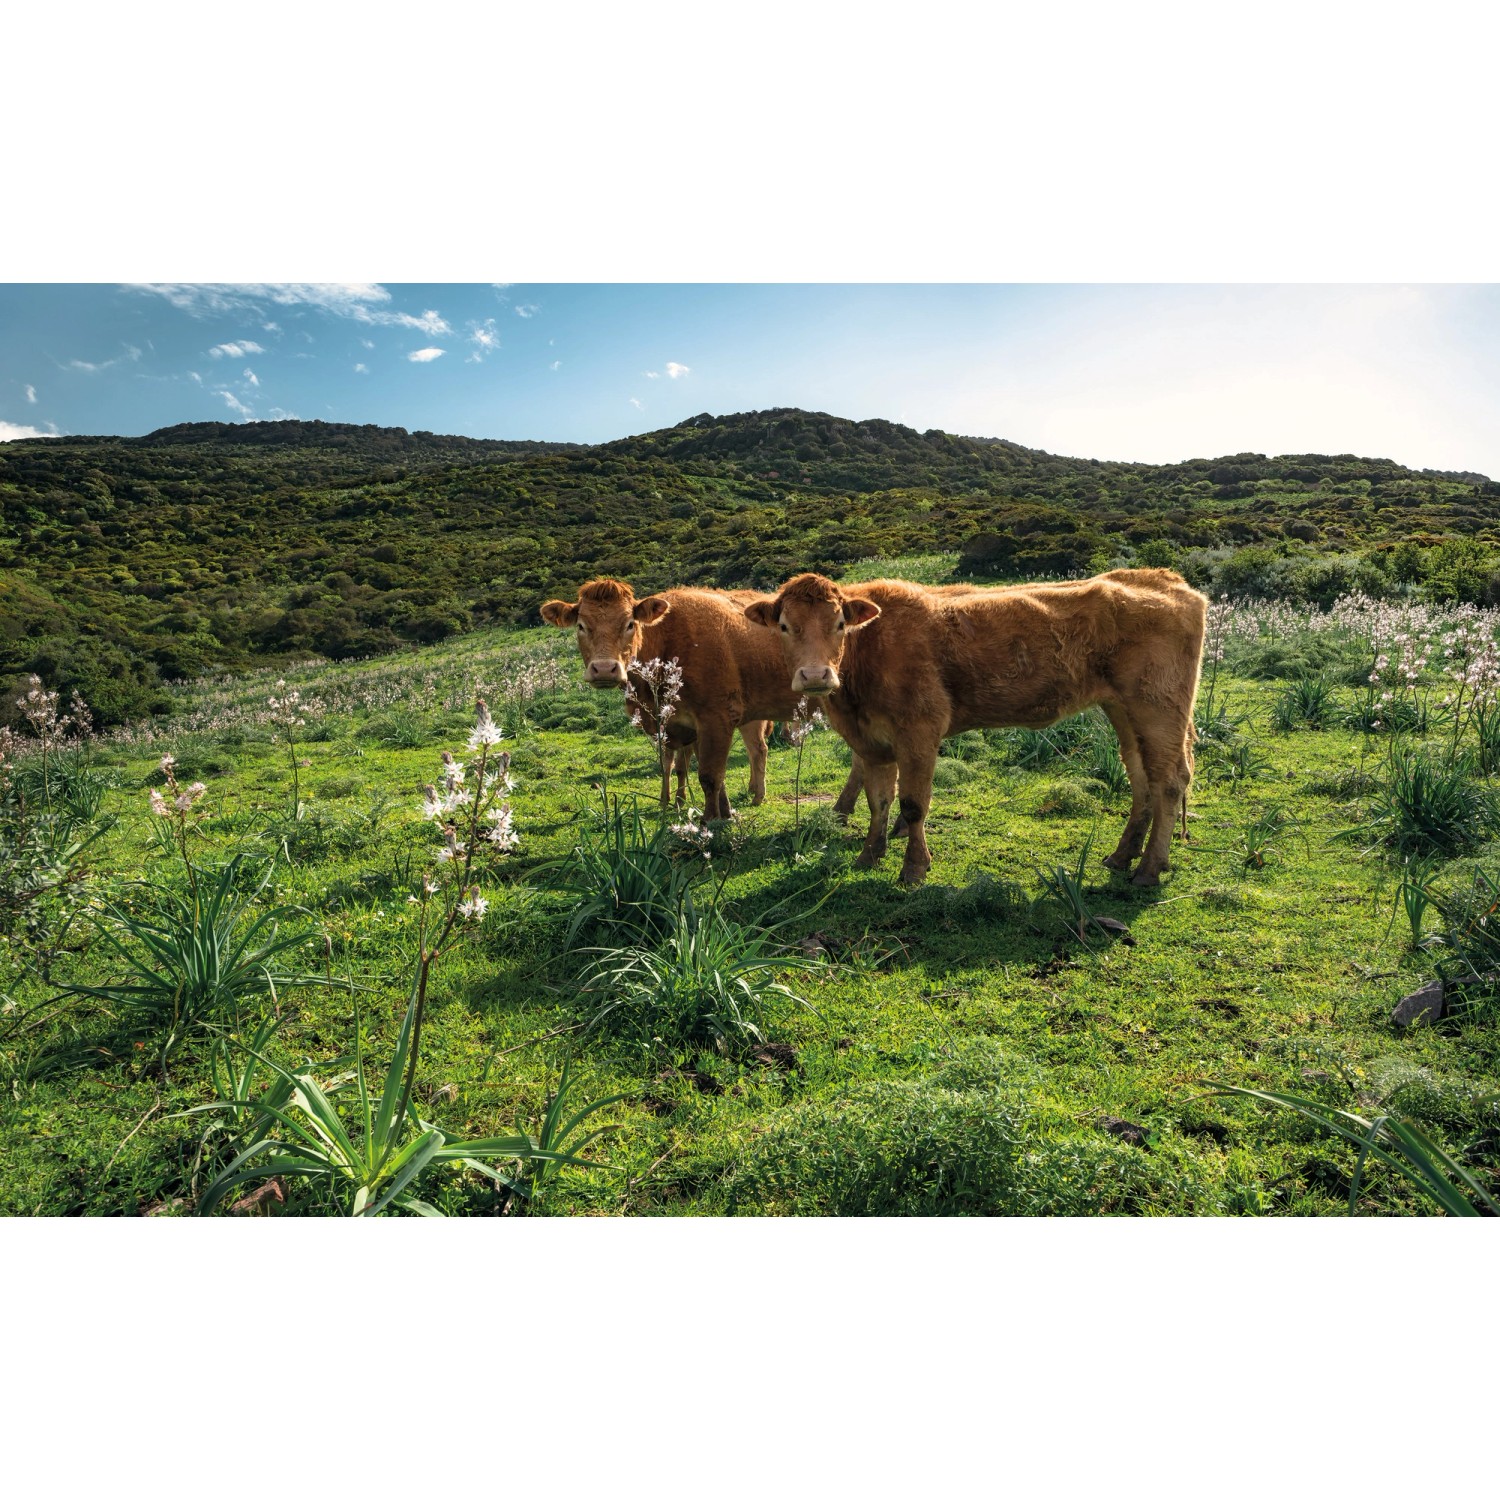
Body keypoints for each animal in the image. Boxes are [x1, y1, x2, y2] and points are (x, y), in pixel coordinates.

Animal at [540, 578, 862, 819]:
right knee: (761, 749)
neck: (668, 643)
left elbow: (708, 775)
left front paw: (711, 821)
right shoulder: (680, 727)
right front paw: (719, 810)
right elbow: (691, 771)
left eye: (630, 623)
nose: (605, 668)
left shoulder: (714, 719)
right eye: (581, 626)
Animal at [745, 568, 1207, 887]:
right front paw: (869, 856)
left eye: (840, 624)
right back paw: (1123, 856)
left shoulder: (920, 731)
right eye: (784, 626)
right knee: (1142, 777)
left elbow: (913, 804)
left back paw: (1148, 869)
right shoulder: (871, 742)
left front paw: (914, 868)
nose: (815, 675)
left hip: (1158, 706)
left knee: (1169, 780)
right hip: (1125, 709)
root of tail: (1166, 580)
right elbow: (879, 801)